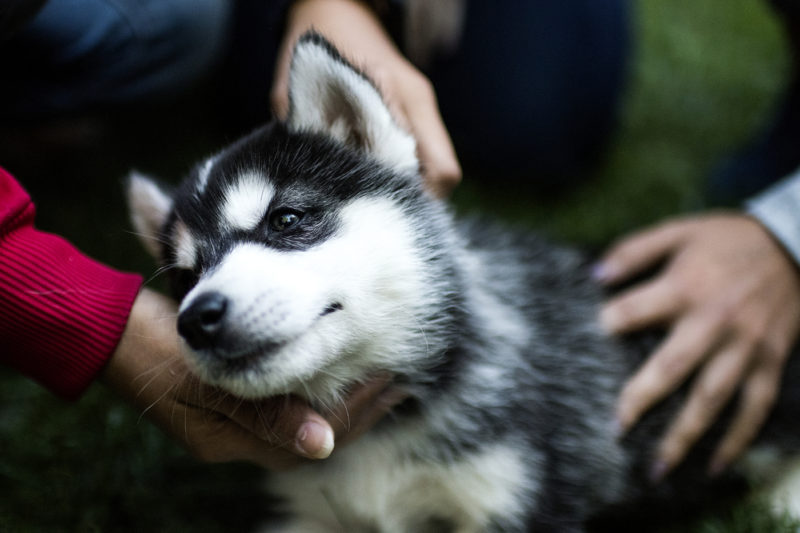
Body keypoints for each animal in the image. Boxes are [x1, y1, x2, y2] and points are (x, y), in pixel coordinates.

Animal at [128, 33, 800, 532]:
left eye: (286, 220)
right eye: (185, 276)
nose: (198, 318)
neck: (378, 441)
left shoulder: (518, 500)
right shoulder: (307, 516)